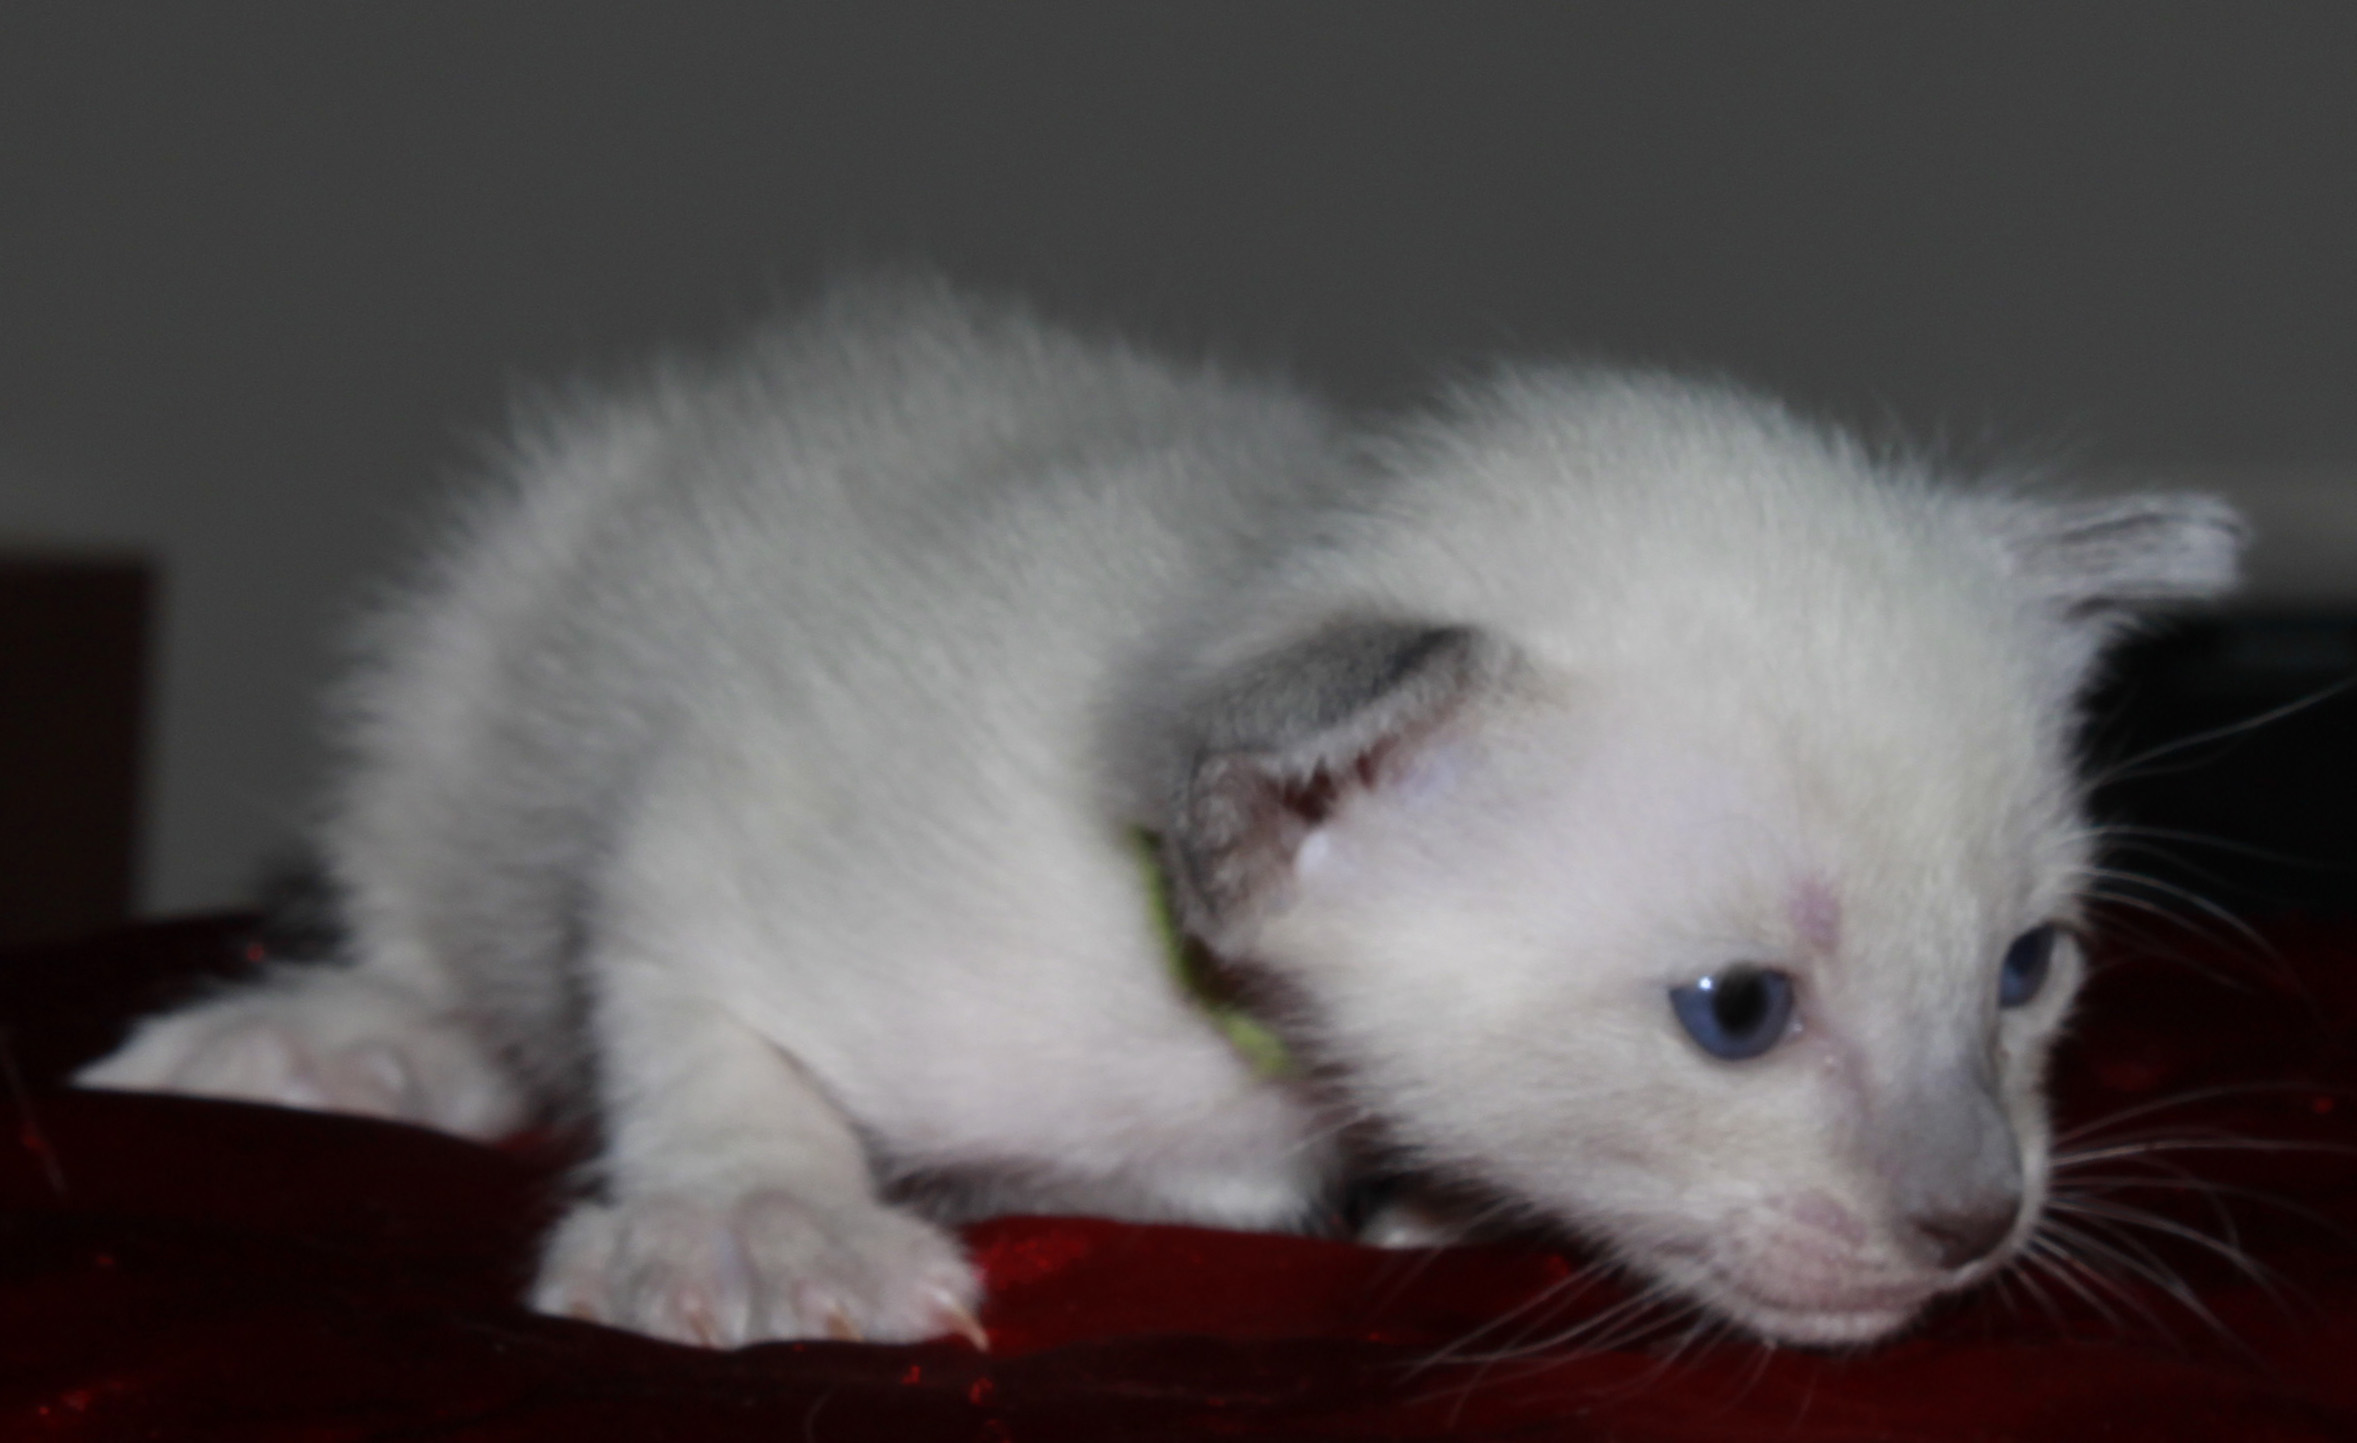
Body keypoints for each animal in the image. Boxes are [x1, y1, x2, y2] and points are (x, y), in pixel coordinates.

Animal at [81, 280, 2242, 1350]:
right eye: (1735, 1011)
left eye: (2025, 971)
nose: (1974, 1219)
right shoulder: (708, 854)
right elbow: (686, 1017)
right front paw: (762, 1227)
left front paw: (1430, 1210)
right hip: (472, 644)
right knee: (426, 910)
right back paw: (336, 1041)